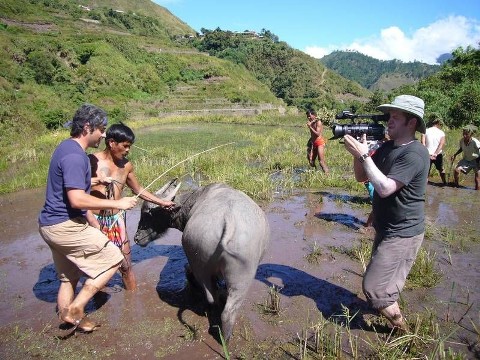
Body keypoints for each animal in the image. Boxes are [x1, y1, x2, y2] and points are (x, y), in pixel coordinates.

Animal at [135, 180, 270, 340]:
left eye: (147, 213)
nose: (136, 238)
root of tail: (228, 221)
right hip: (237, 275)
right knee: (223, 306)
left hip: (215, 272)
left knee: (216, 300)